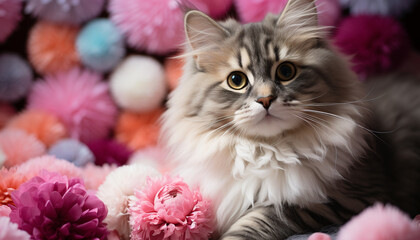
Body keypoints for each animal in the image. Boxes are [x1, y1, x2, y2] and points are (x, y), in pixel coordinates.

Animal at [161, 0, 420, 238]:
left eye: (286, 72)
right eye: (236, 80)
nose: (265, 99)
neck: (266, 151)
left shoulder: (343, 199)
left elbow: (257, 220)